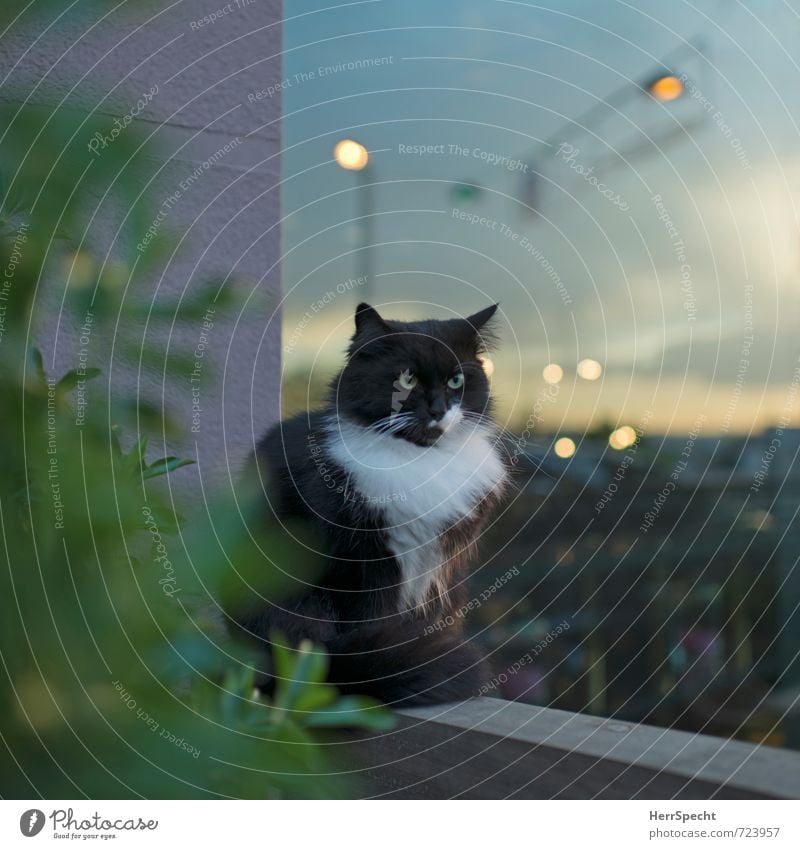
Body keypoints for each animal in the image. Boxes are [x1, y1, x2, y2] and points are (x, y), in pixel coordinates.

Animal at [238, 302, 510, 704]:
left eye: (456, 381)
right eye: (407, 379)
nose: (438, 408)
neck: (419, 459)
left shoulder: (441, 566)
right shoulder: (361, 562)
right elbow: (372, 622)